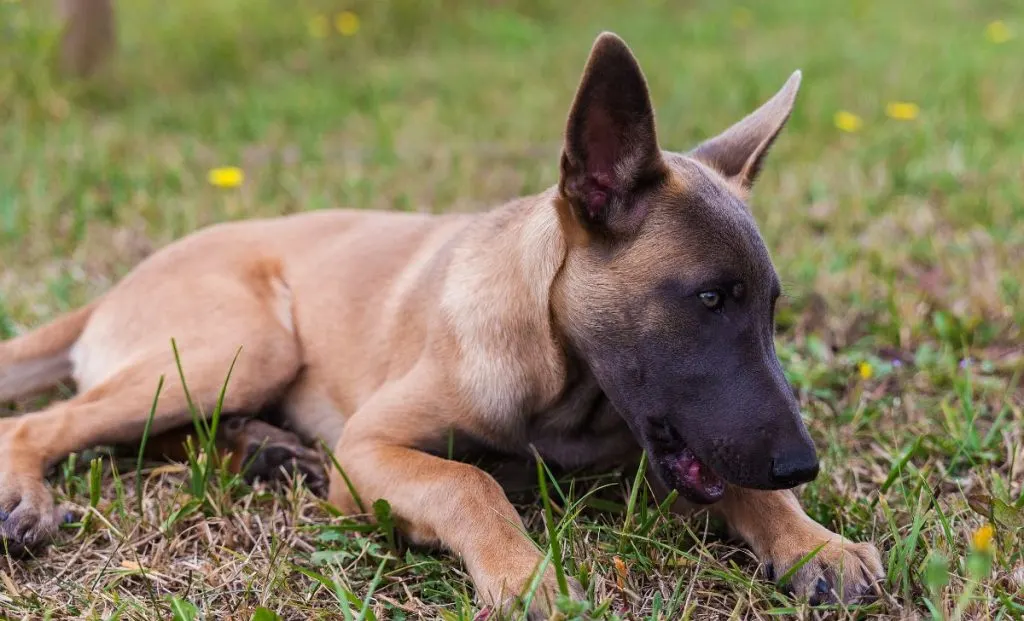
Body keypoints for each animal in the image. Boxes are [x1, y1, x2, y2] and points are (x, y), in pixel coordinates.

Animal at [0, 34, 880, 618]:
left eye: (769, 309)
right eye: (707, 300)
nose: (803, 464)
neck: (561, 382)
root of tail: (113, 289)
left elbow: (741, 486)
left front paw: (814, 541)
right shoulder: (369, 448)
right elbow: (471, 483)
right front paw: (524, 573)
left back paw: (266, 450)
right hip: (249, 343)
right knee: (44, 423)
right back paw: (37, 496)